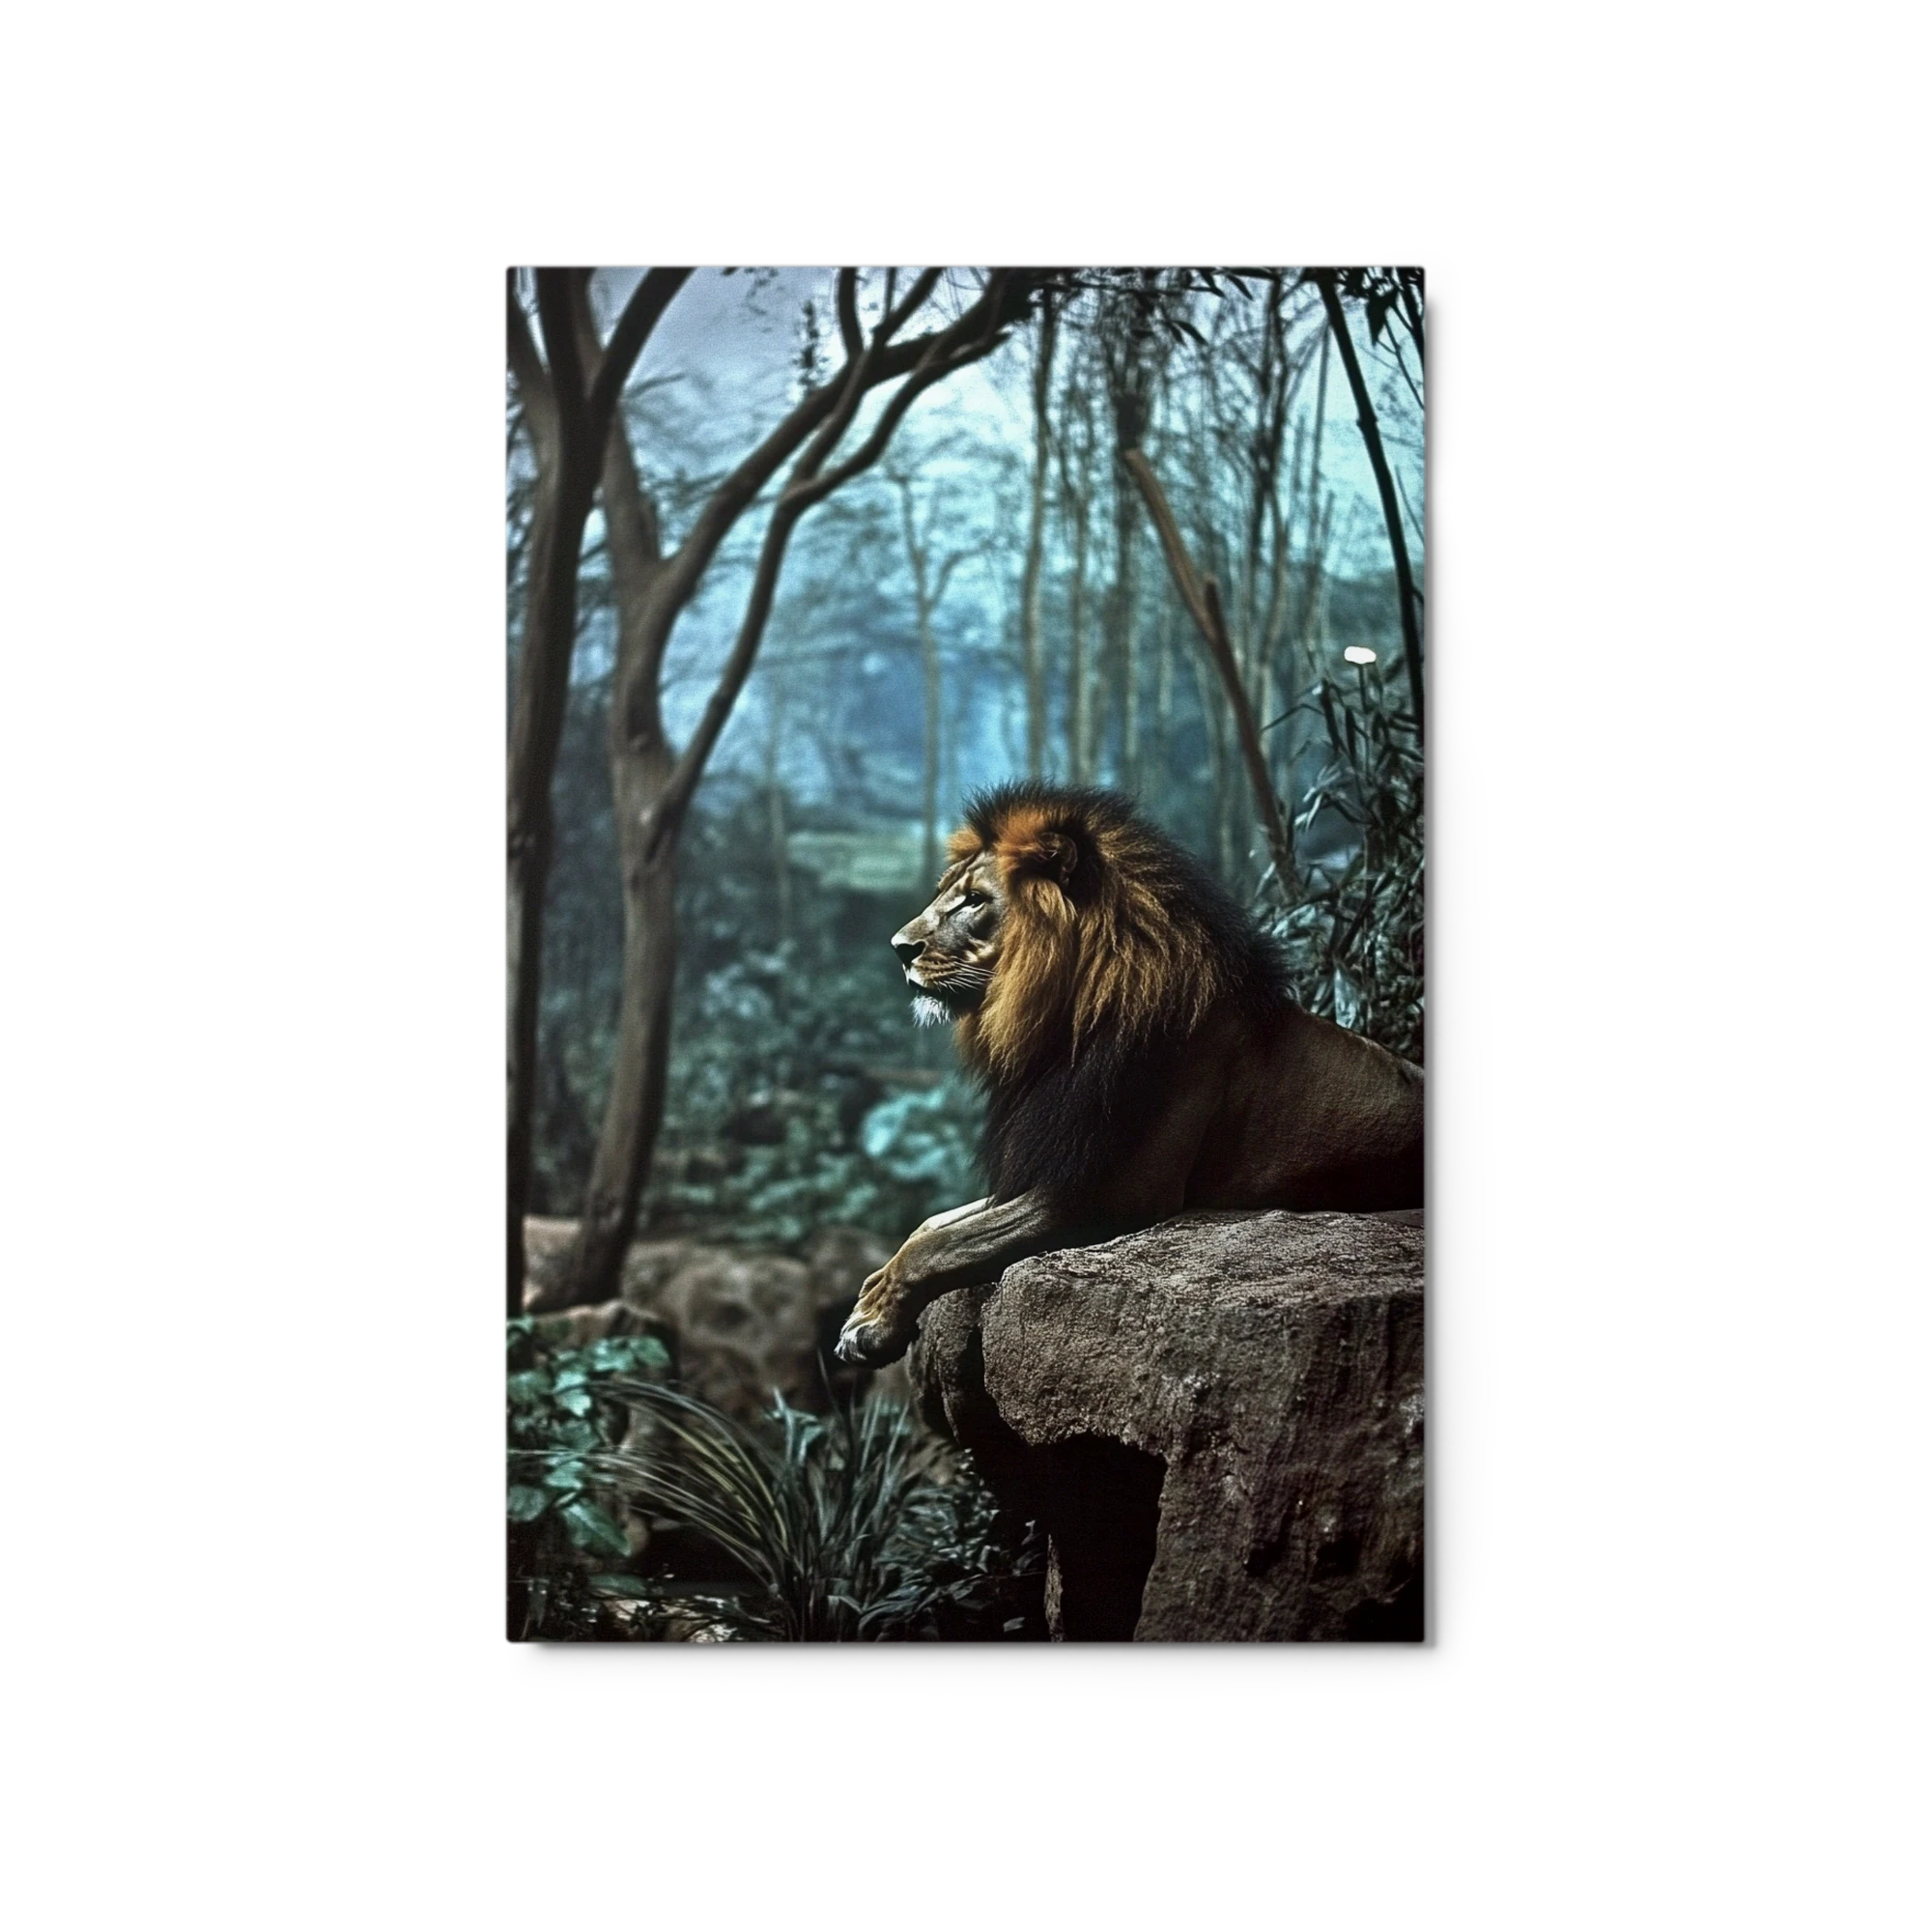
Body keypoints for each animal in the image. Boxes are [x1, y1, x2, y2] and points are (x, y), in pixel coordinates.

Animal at [836, 781, 1425, 1367]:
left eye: (975, 899)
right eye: (946, 892)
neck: (1066, 1025)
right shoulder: (1047, 1161)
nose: (899, 948)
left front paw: (872, 1321)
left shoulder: (1109, 1193)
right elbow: (933, 1225)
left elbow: (942, 1244)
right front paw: (870, 1296)